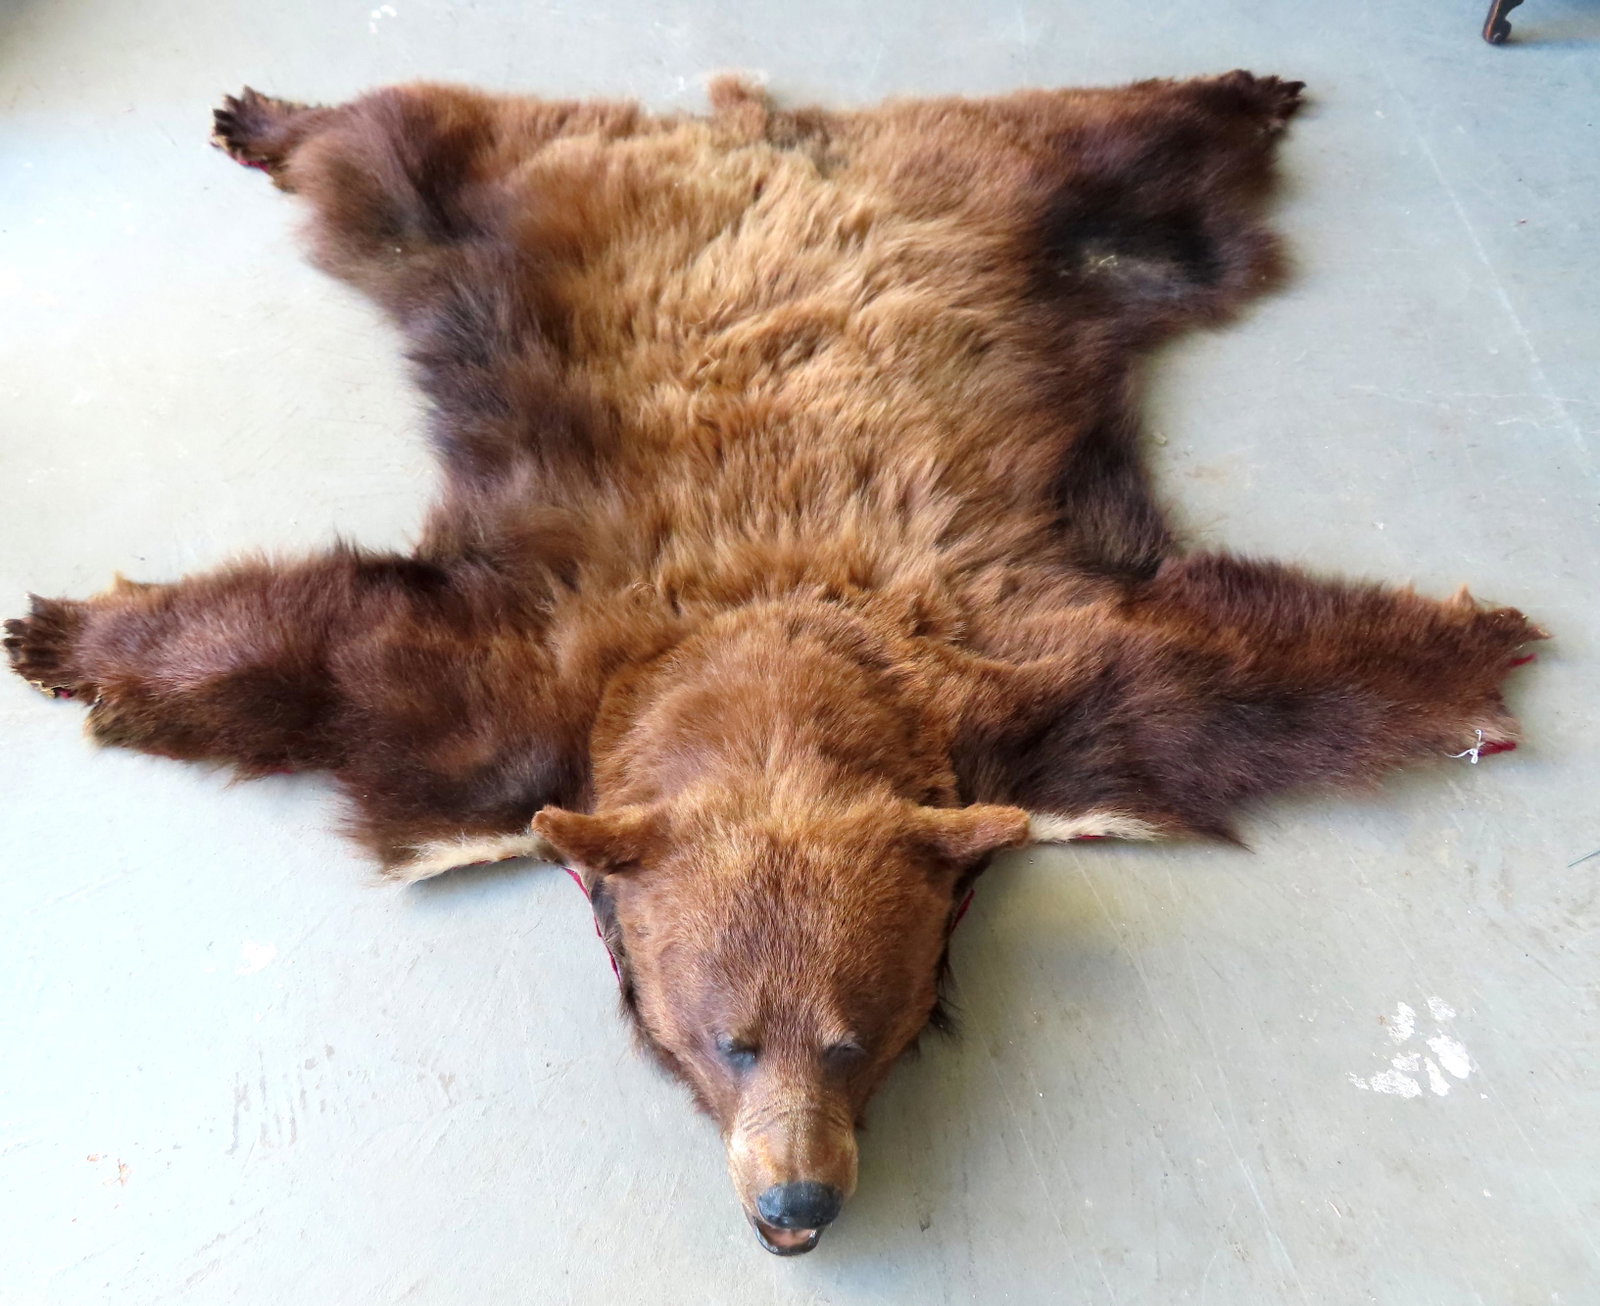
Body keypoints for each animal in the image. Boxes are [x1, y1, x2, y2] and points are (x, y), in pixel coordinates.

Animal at [4, 73, 1540, 1254]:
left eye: (860, 1033)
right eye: (731, 1036)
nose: (798, 1200)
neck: (776, 653)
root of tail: (759, 127)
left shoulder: (1043, 678)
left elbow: (1246, 669)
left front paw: (1473, 645)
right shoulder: (511, 676)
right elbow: (303, 640)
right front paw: (62, 632)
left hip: (1005, 195)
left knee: (1100, 140)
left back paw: (1240, 88)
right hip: (527, 186)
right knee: (407, 144)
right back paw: (263, 114)